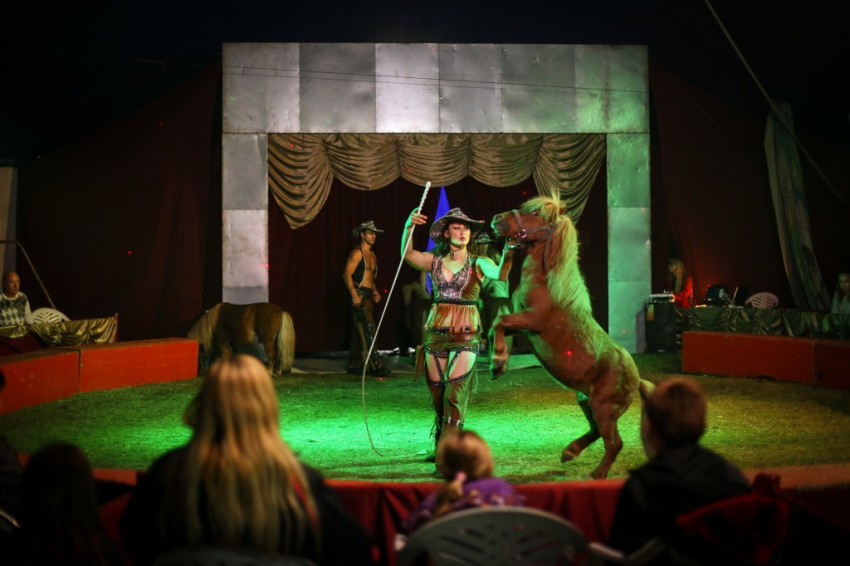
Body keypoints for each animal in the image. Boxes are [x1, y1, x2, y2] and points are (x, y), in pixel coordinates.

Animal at [489, 196, 654, 479]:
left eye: (535, 213)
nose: (497, 219)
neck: (547, 284)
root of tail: (637, 380)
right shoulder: (522, 327)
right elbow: (495, 328)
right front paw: (498, 363)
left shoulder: (531, 320)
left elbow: (498, 322)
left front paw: (498, 363)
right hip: (586, 401)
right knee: (596, 432)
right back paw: (570, 452)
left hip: (603, 408)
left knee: (614, 442)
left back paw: (597, 474)